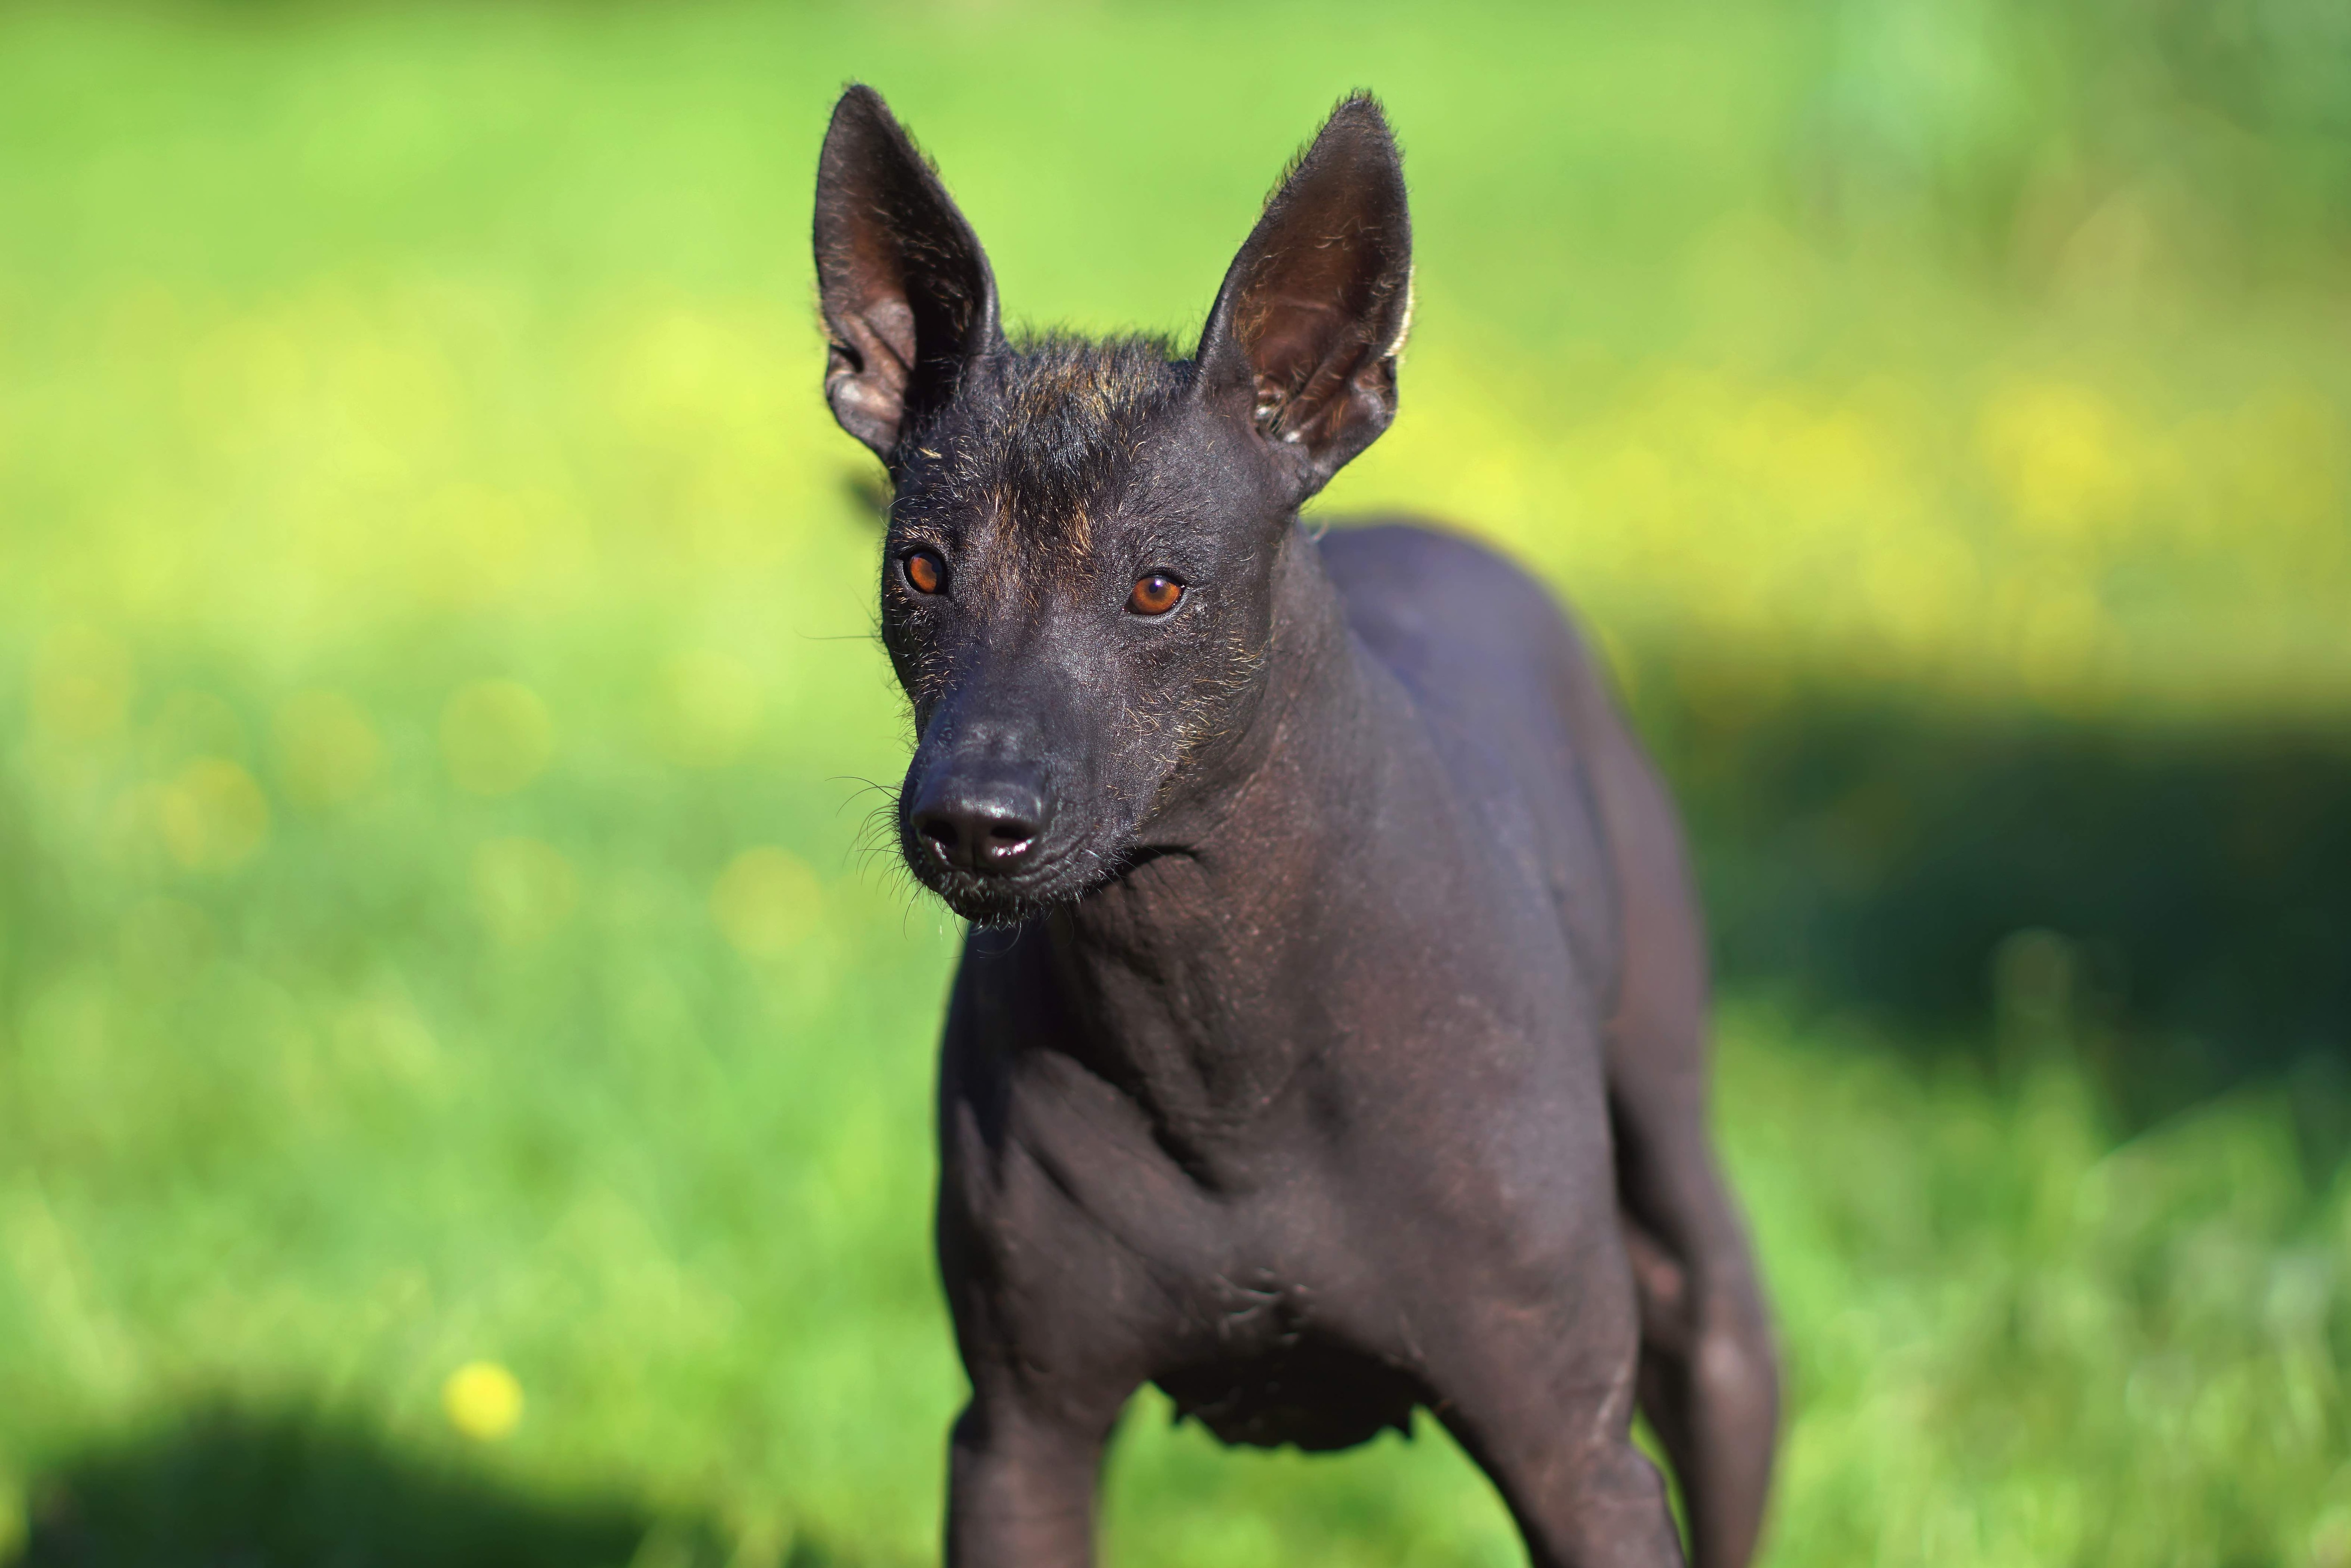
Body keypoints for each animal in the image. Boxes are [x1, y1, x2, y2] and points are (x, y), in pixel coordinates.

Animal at [818, 88, 1768, 1568]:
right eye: (920, 568)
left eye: (1159, 587)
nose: (972, 820)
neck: (1219, 1034)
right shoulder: (1020, 1437)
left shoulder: (1579, 1458)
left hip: (1688, 1209)